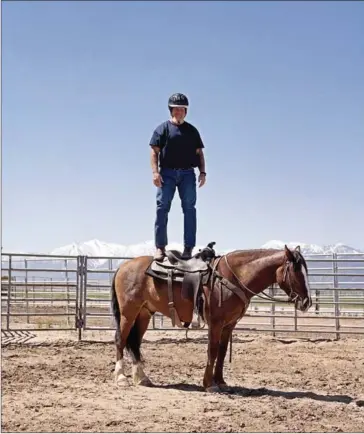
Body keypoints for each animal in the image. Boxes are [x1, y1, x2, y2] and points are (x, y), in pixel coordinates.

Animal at [109, 244, 312, 394]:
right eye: (296, 271)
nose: (307, 302)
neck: (233, 277)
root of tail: (123, 267)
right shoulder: (215, 323)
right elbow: (212, 351)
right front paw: (209, 384)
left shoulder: (229, 325)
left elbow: (222, 352)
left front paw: (221, 381)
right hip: (128, 312)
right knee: (121, 339)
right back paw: (121, 378)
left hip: (144, 313)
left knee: (135, 342)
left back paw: (142, 378)